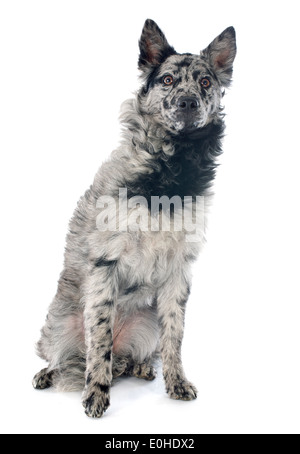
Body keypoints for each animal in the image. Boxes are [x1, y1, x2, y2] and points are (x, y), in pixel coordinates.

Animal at [32, 19, 237, 416]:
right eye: (168, 80)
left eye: (205, 82)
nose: (188, 102)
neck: (170, 170)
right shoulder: (106, 263)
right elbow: (99, 337)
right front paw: (96, 393)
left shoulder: (179, 271)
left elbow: (175, 335)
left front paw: (176, 382)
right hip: (58, 323)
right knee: (68, 356)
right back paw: (50, 374)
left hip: (146, 324)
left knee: (125, 358)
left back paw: (138, 367)